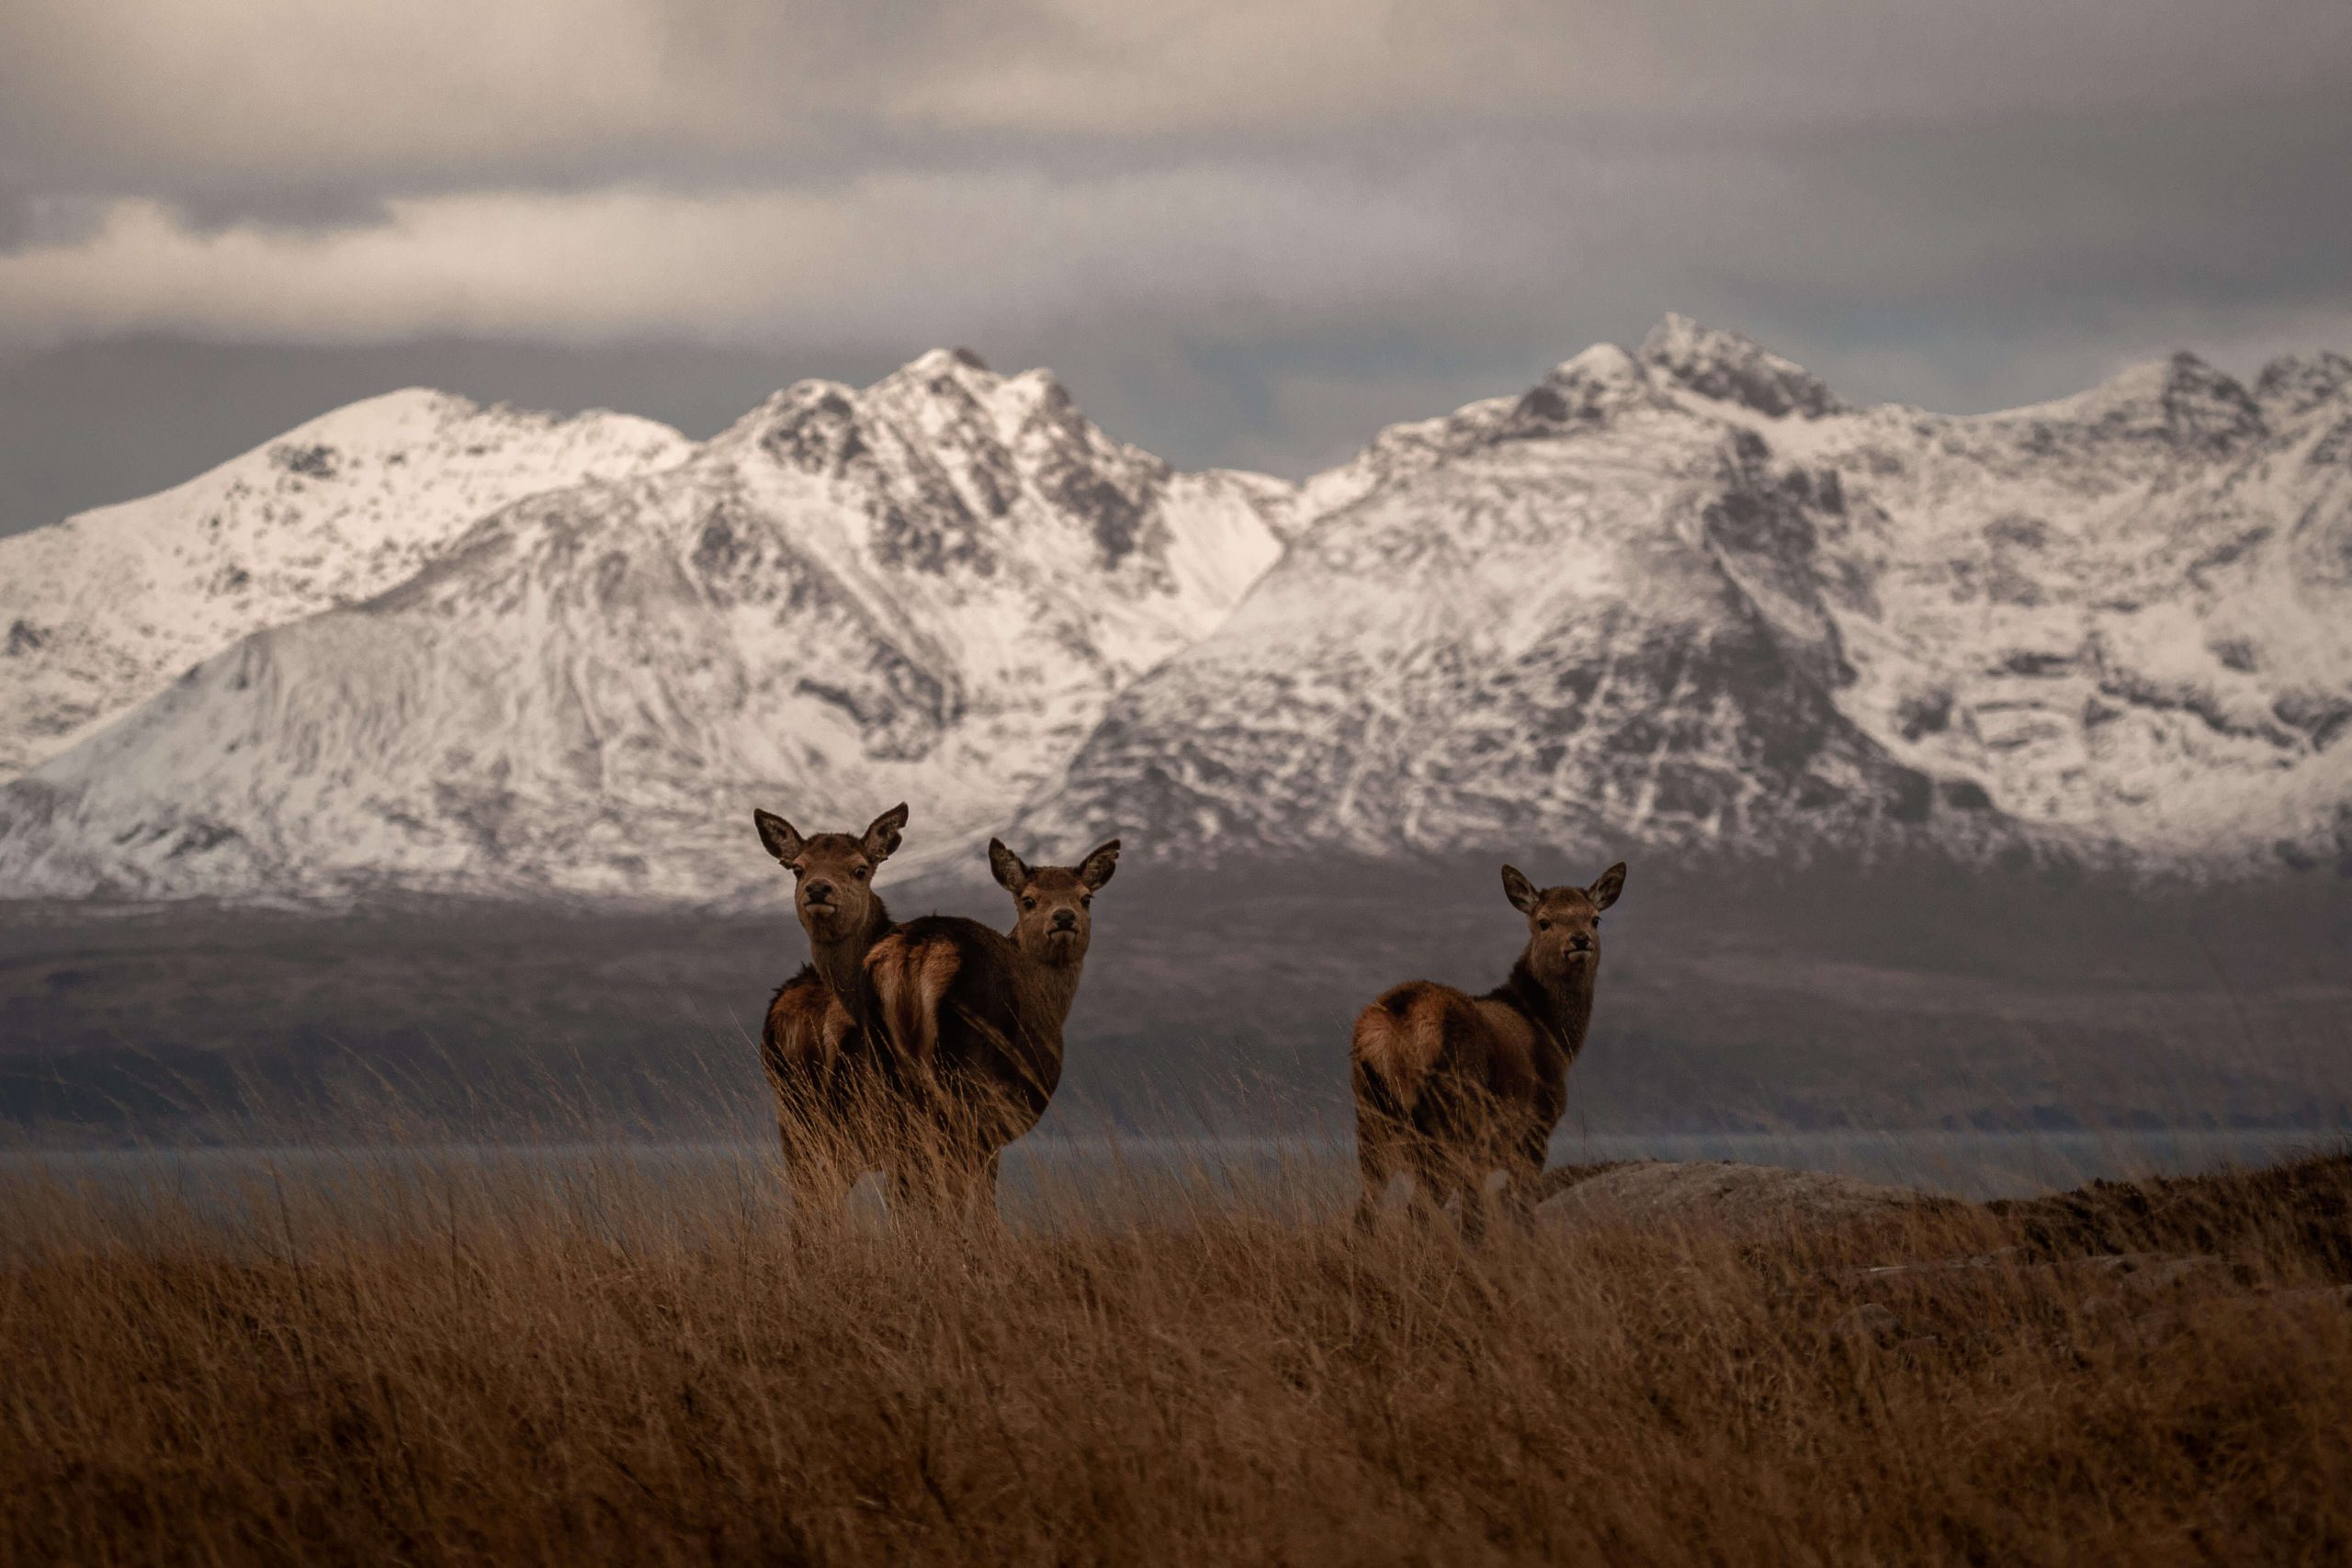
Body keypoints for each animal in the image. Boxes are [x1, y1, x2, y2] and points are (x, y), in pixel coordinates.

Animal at [865, 841, 1119, 1222]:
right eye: (1028, 899)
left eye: (1085, 897)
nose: (1064, 917)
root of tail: (919, 951)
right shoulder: (998, 1120)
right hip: (967, 1081)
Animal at [1354, 860, 1627, 1241]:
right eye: (1544, 921)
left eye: (1594, 918)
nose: (1580, 940)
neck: (1552, 1033)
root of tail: (1398, 1022)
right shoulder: (1535, 1126)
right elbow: (1517, 1212)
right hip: (1451, 1117)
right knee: (1420, 1211)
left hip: (1371, 1110)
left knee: (1365, 1209)